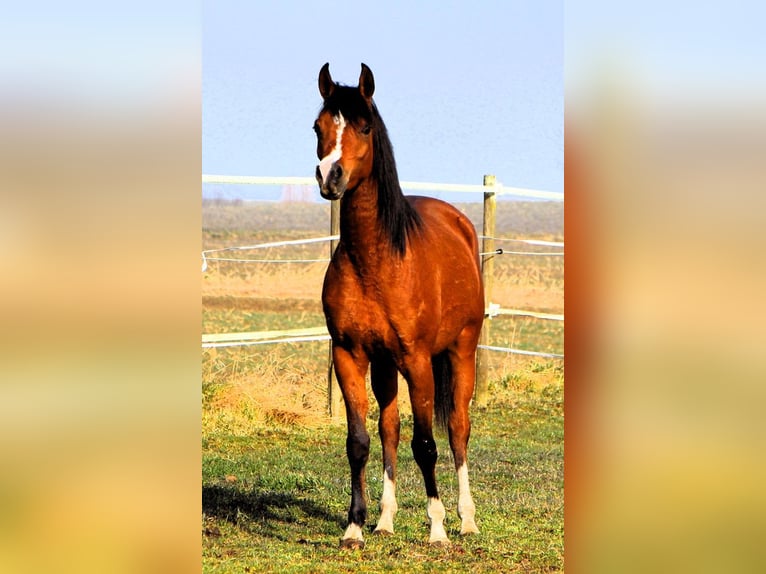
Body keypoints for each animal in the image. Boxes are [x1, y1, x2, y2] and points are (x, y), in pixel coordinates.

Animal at [314, 62, 484, 548]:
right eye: (318, 126)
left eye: (365, 126)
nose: (330, 177)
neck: (375, 262)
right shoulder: (349, 355)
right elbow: (360, 442)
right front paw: (354, 527)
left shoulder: (419, 361)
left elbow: (426, 445)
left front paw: (438, 529)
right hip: (385, 365)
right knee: (389, 430)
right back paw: (385, 520)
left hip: (461, 351)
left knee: (458, 429)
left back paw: (466, 520)